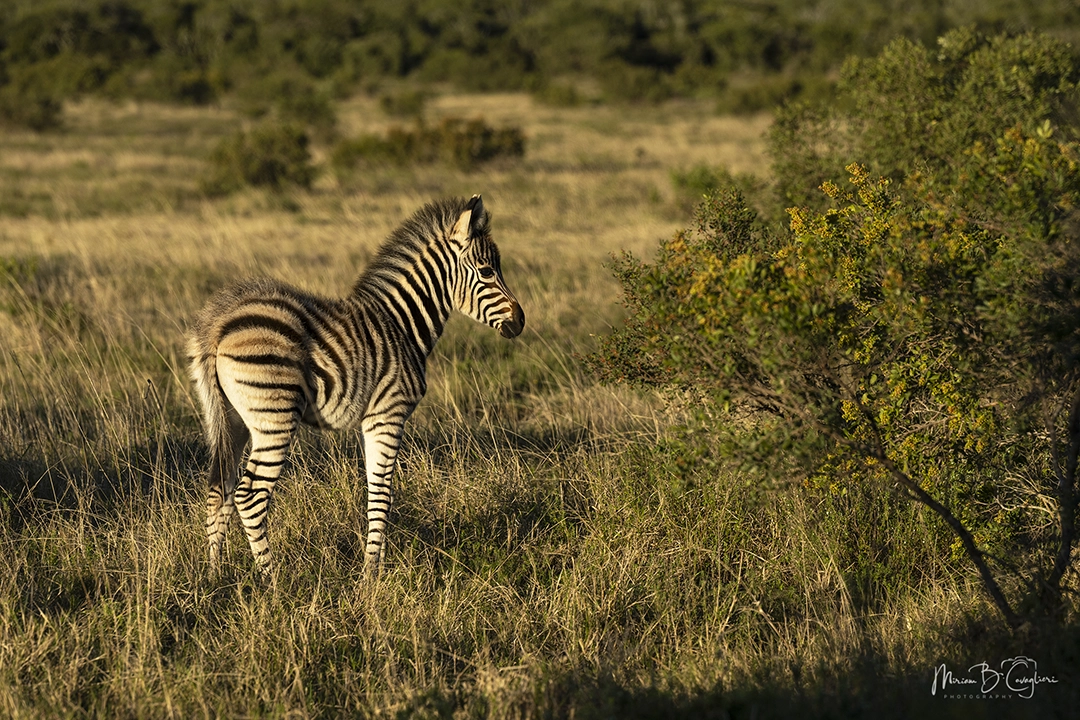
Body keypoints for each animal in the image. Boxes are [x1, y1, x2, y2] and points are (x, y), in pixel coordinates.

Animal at [187, 195, 524, 576]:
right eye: (487, 272)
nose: (521, 321)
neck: (402, 326)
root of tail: (218, 324)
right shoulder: (388, 415)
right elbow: (382, 495)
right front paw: (371, 574)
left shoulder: (373, 420)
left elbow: (377, 490)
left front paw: (374, 568)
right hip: (275, 417)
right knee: (249, 496)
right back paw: (272, 580)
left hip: (233, 419)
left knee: (220, 490)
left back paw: (214, 574)